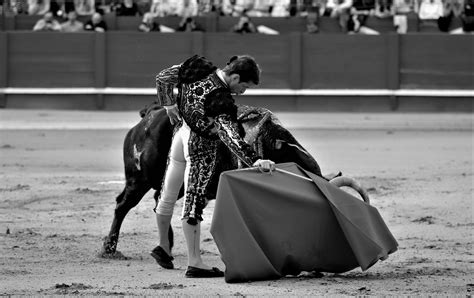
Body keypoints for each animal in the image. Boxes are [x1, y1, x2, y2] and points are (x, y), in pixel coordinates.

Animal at [99, 104, 366, 256]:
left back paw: (168, 245)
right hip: (138, 179)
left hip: (174, 183)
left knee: (158, 200)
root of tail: (145, 119)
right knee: (123, 204)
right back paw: (109, 248)